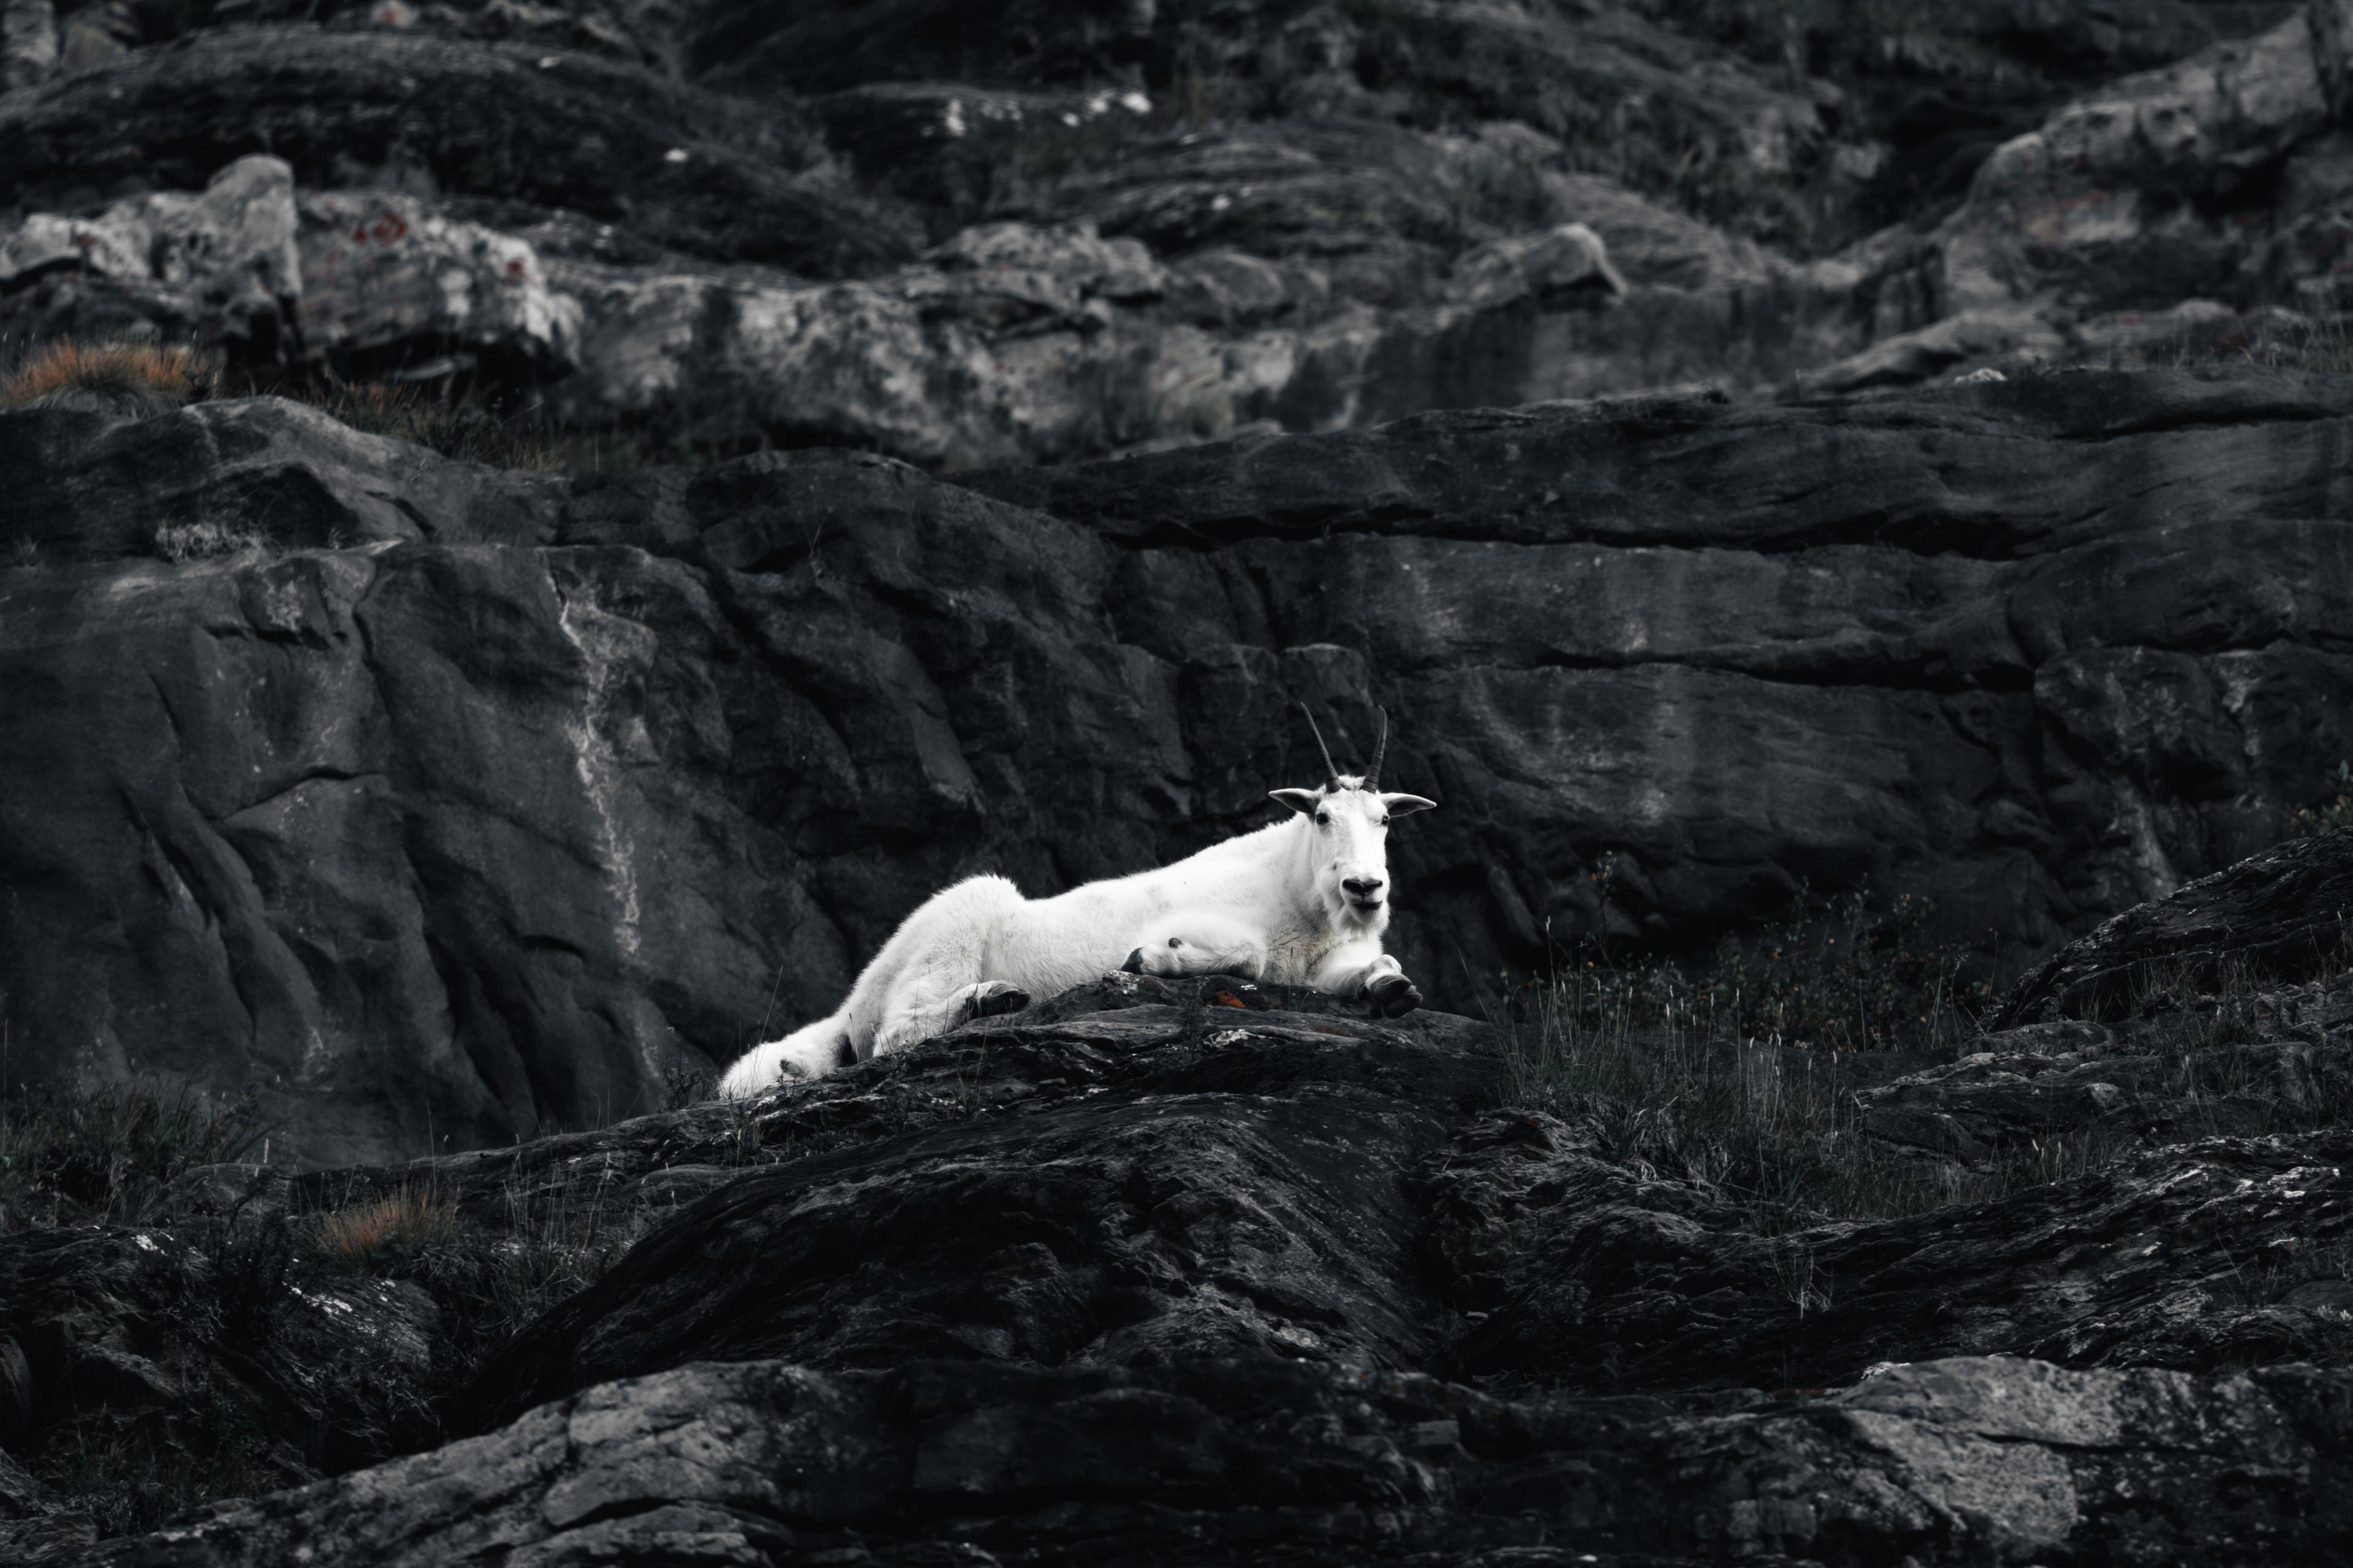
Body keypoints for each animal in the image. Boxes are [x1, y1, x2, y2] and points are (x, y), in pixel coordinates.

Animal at [718, 709, 1436, 1094]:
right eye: (1322, 816)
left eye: (1384, 821)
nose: (1365, 889)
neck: (1299, 894)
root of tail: (853, 1002)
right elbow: (1246, 957)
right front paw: (1155, 956)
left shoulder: (1325, 961)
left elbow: (1379, 970)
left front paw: (1393, 990)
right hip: (955, 924)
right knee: (897, 1032)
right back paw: (993, 998)